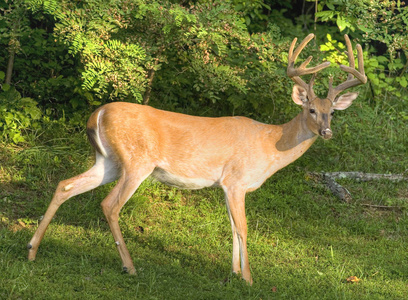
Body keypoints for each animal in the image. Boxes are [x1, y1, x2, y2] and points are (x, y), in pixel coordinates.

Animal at [27, 33, 366, 284]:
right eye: (311, 109)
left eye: (332, 112)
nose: (326, 131)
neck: (271, 144)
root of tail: (96, 113)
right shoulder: (236, 180)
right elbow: (243, 227)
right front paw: (248, 278)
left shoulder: (227, 186)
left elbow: (231, 226)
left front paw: (233, 273)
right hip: (137, 160)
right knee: (109, 204)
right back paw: (130, 267)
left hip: (108, 161)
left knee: (65, 185)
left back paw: (32, 249)